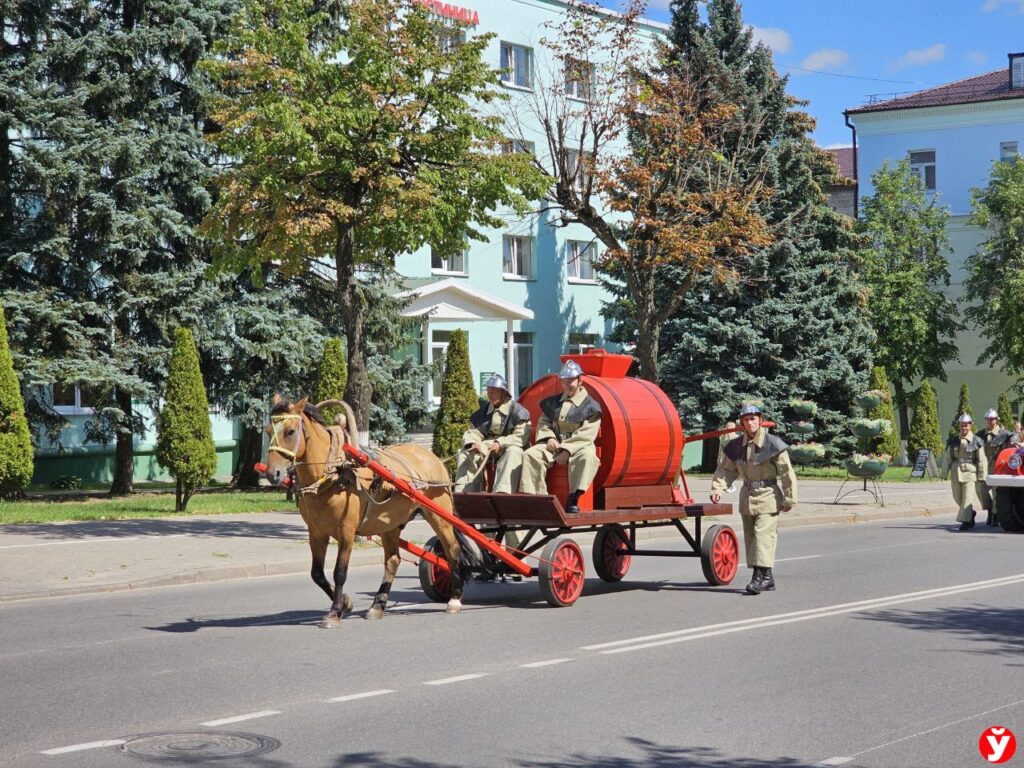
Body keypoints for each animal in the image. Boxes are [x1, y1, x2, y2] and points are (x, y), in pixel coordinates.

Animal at [266, 397, 468, 626]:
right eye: (267, 430)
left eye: (290, 431)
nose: (272, 473)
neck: (334, 473)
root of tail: (432, 457)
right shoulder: (316, 532)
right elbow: (316, 573)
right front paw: (345, 602)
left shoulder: (346, 531)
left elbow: (339, 572)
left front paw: (334, 612)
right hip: (389, 524)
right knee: (393, 560)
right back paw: (377, 606)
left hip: (439, 516)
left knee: (452, 551)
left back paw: (454, 599)